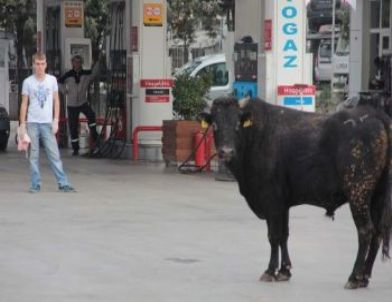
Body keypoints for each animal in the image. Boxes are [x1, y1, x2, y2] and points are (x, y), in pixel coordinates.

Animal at [201, 96, 392, 288]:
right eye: (215, 125)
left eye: (236, 125)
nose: (226, 151)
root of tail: (375, 114)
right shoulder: (283, 204)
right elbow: (284, 235)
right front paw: (284, 271)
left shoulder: (271, 200)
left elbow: (274, 236)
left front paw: (270, 271)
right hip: (376, 195)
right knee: (377, 233)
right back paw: (364, 277)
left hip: (358, 192)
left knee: (365, 231)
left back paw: (354, 277)